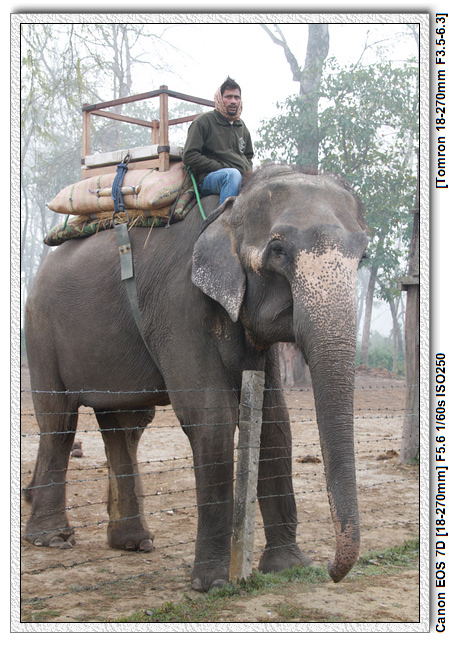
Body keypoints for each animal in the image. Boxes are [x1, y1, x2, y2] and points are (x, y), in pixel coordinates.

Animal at [23, 163, 368, 592]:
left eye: (363, 255)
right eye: (278, 251)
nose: (331, 570)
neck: (232, 209)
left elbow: (275, 420)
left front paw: (289, 567)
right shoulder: (177, 302)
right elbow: (211, 416)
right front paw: (214, 585)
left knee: (123, 426)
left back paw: (133, 543)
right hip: (40, 330)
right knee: (59, 421)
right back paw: (53, 539)